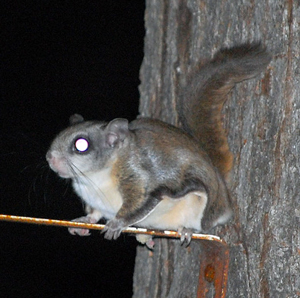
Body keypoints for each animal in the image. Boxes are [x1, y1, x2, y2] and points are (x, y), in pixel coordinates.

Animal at [45, 42, 270, 247]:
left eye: (81, 145)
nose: (49, 158)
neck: (94, 179)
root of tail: (221, 185)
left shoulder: (142, 177)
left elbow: (141, 203)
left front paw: (117, 223)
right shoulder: (96, 202)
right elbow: (94, 214)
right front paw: (81, 223)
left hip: (203, 203)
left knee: (203, 224)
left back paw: (188, 230)